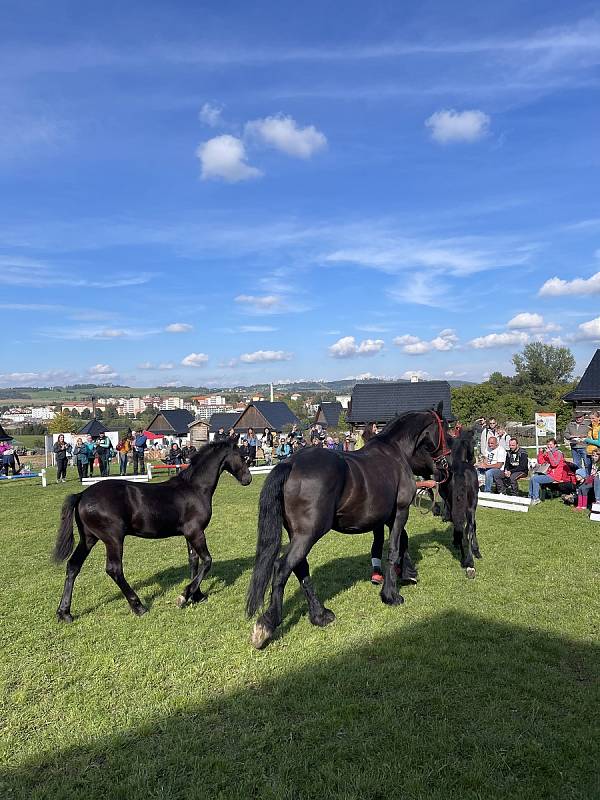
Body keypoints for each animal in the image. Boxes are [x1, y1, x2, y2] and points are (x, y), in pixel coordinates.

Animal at [53, 440, 251, 620]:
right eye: (242, 456)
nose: (248, 479)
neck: (194, 489)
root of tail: (82, 495)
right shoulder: (196, 532)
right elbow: (207, 561)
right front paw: (184, 596)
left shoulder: (190, 534)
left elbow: (194, 561)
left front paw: (197, 595)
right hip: (113, 539)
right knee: (114, 569)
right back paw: (139, 607)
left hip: (88, 538)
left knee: (73, 566)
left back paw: (64, 613)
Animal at [245, 406, 450, 648]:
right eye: (445, 427)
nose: (445, 463)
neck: (395, 453)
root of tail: (290, 463)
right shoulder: (400, 512)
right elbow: (394, 549)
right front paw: (391, 595)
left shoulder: (387, 517)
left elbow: (403, 541)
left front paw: (408, 572)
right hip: (308, 534)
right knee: (282, 567)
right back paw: (267, 624)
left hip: (298, 534)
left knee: (300, 568)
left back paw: (320, 615)